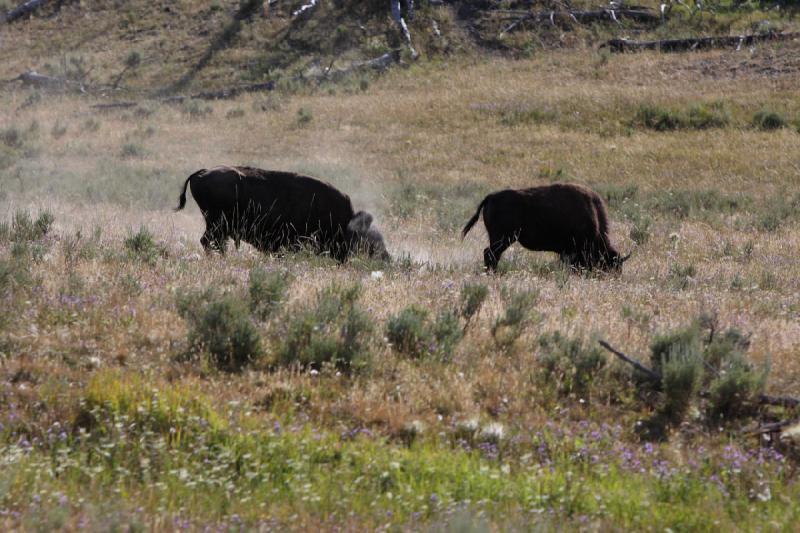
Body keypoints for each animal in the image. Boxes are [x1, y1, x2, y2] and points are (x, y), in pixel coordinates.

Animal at [175, 164, 390, 260]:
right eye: (370, 241)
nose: (386, 258)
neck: (343, 222)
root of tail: (201, 172)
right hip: (217, 224)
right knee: (209, 241)